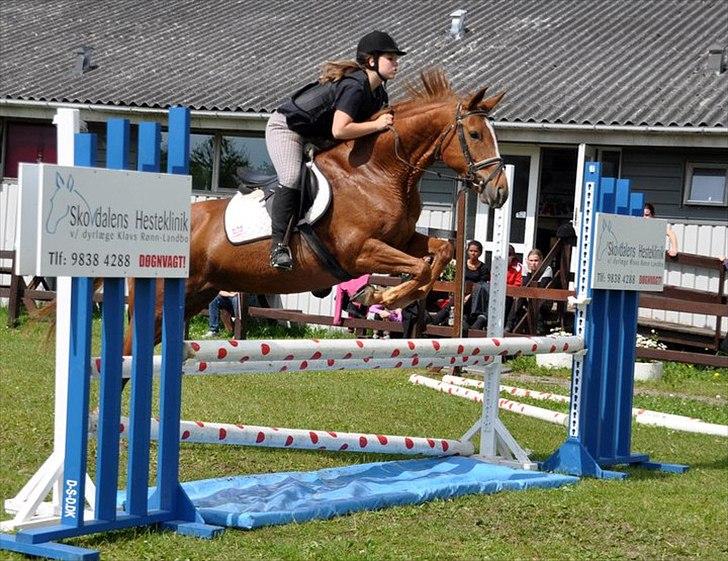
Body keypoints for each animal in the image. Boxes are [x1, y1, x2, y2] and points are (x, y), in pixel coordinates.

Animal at [123, 68, 506, 352]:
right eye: (475, 134)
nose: (500, 191)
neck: (377, 172)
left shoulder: (402, 239)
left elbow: (441, 252)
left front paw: (385, 296)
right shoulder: (360, 251)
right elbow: (422, 269)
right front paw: (382, 295)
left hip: (197, 294)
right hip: (162, 296)